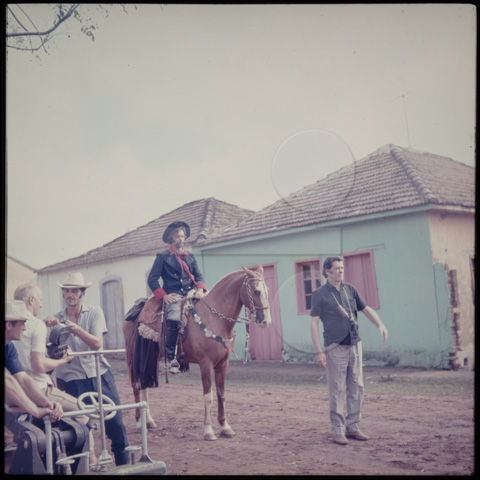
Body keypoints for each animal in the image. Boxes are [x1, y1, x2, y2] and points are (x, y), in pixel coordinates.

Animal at [123, 266, 272, 440]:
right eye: (256, 291)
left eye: (267, 290)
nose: (266, 321)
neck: (215, 318)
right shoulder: (205, 364)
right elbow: (208, 397)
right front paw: (208, 431)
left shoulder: (223, 363)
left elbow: (221, 394)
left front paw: (225, 427)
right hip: (133, 357)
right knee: (136, 386)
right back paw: (139, 423)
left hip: (149, 357)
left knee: (144, 386)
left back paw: (149, 421)